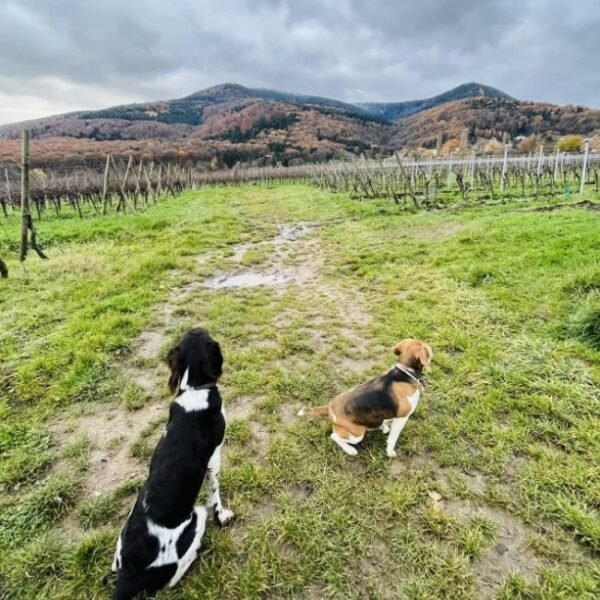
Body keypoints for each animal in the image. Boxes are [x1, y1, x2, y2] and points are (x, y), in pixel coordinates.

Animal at [298, 338, 432, 460]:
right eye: (425, 347)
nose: (431, 349)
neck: (404, 374)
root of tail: (329, 408)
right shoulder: (401, 418)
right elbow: (392, 439)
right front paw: (390, 452)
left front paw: (383, 427)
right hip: (357, 434)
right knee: (333, 436)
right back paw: (350, 450)